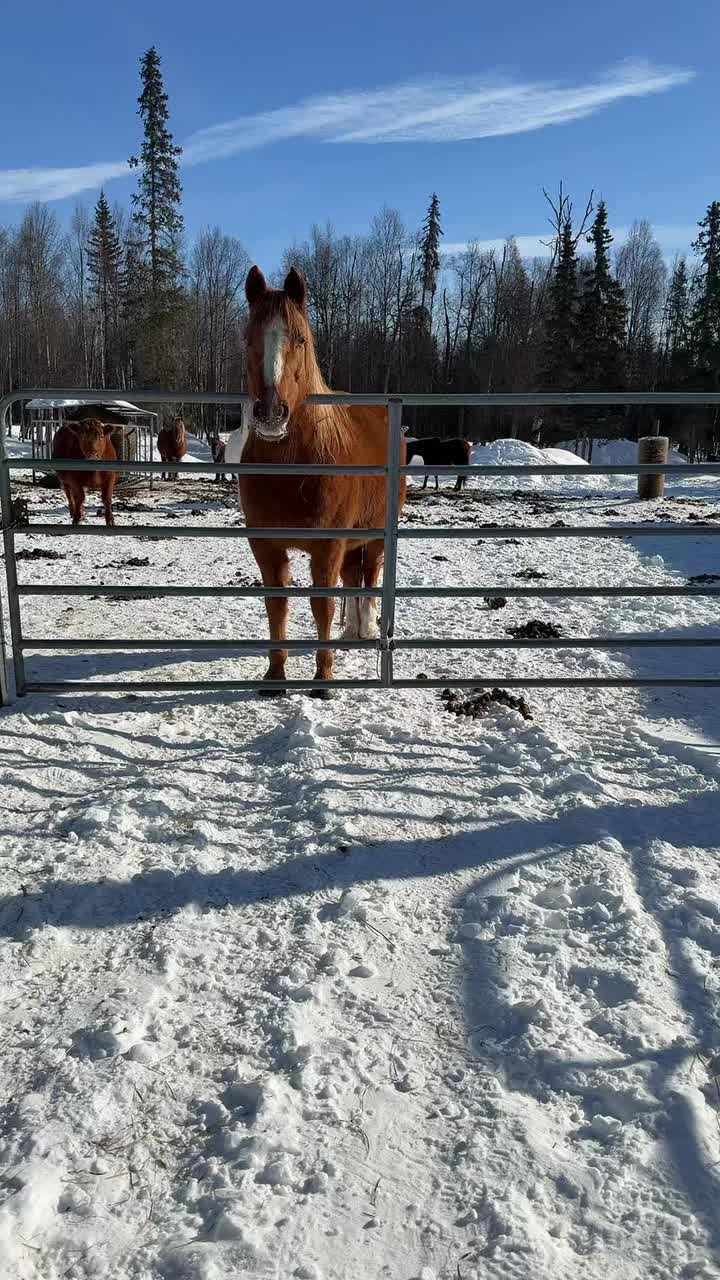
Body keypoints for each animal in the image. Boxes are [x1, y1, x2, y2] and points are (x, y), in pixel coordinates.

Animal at [240, 264, 407, 697]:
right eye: (248, 338)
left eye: (300, 338)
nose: (271, 414)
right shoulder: (265, 546)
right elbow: (277, 605)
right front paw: (275, 675)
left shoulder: (328, 545)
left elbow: (322, 605)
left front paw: (323, 679)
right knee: (352, 577)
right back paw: (350, 633)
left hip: (375, 536)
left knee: (368, 577)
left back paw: (365, 629)